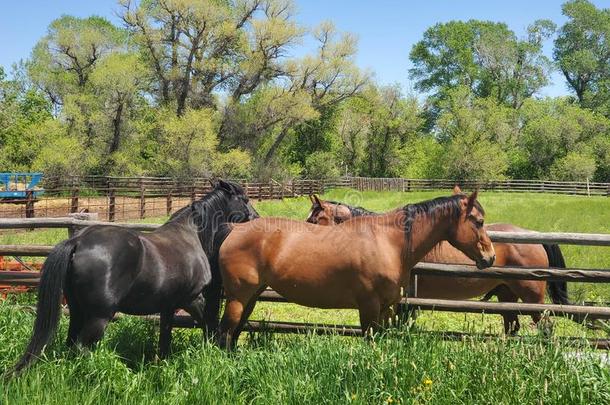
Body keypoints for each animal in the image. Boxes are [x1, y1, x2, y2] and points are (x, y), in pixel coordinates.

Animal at [215, 190, 494, 348]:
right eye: (479, 222)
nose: (490, 257)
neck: (389, 241)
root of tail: (235, 229)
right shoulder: (369, 306)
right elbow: (369, 340)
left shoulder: (386, 308)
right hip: (238, 297)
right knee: (226, 330)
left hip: (251, 296)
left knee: (235, 331)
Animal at [306, 191, 568, 332]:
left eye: (314, 221)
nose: (489, 256)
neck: (394, 241)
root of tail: (535, 237)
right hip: (507, 295)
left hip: (532, 298)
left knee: (546, 327)